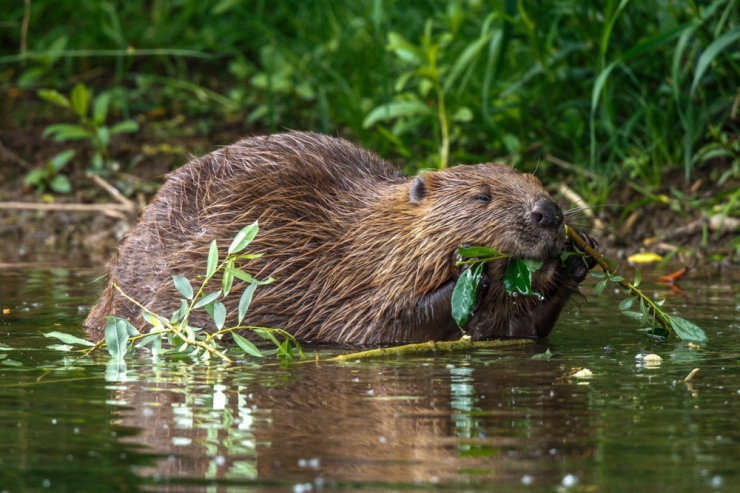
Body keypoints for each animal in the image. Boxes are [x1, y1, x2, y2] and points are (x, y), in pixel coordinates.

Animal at [85, 133, 596, 344]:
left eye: (536, 180)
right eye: (483, 195)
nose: (549, 213)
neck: (365, 235)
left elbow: (521, 327)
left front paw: (578, 259)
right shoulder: (332, 276)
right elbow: (373, 323)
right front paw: (473, 272)